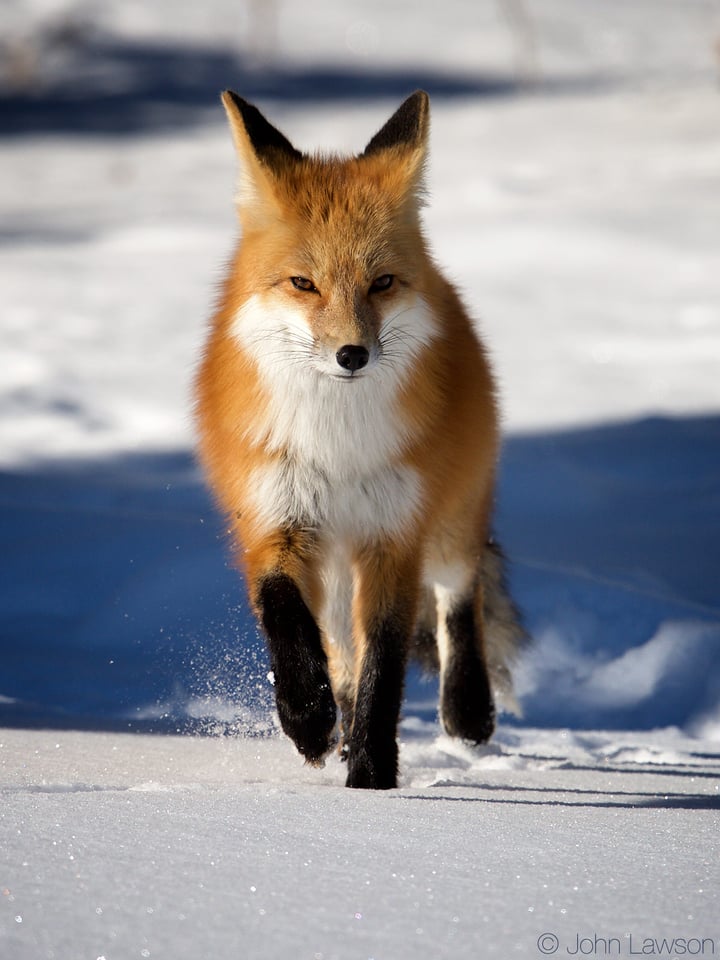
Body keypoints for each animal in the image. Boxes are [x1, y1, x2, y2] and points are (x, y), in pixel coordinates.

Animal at [195, 90, 524, 788]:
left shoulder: (392, 536)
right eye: (304, 283)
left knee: (461, 593)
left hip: (449, 521)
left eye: (381, 283)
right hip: (334, 555)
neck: (336, 445)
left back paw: (467, 712)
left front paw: (372, 777)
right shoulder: (275, 519)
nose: (352, 354)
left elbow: (385, 666)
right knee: (338, 645)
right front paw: (310, 719)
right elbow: (287, 618)